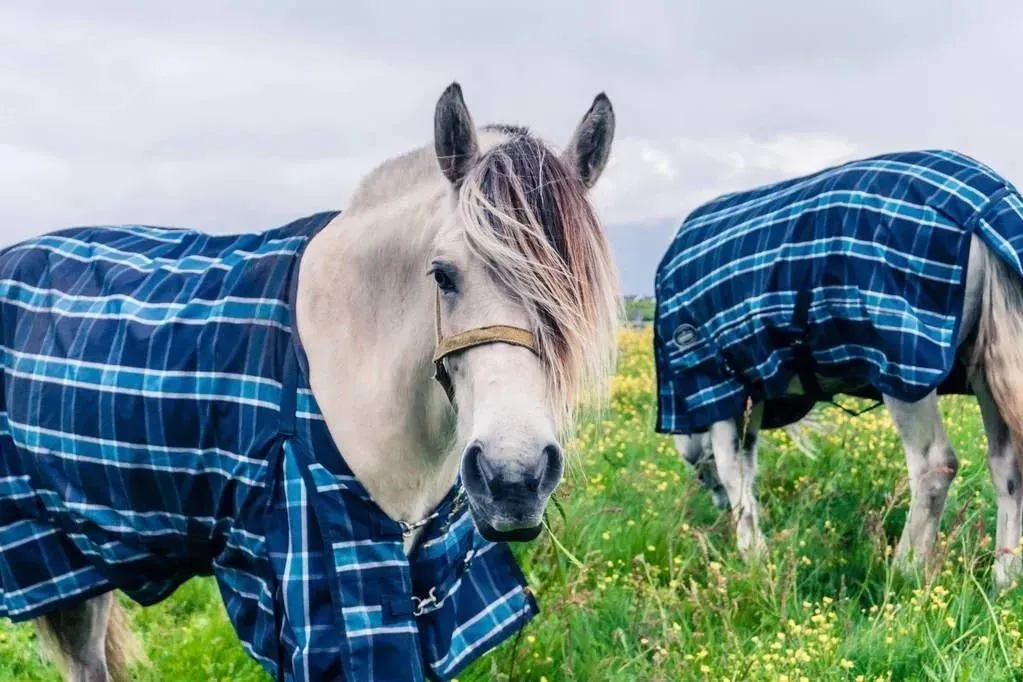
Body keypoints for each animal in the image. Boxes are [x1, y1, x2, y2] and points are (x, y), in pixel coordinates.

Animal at [654, 149, 1023, 593]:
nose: (715, 504)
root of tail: (982, 206)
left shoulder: (721, 385)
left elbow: (733, 467)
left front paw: (752, 556)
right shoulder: (753, 388)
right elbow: (746, 461)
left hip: (903, 366)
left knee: (935, 464)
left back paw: (905, 570)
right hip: (982, 365)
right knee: (1007, 467)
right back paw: (1005, 578)